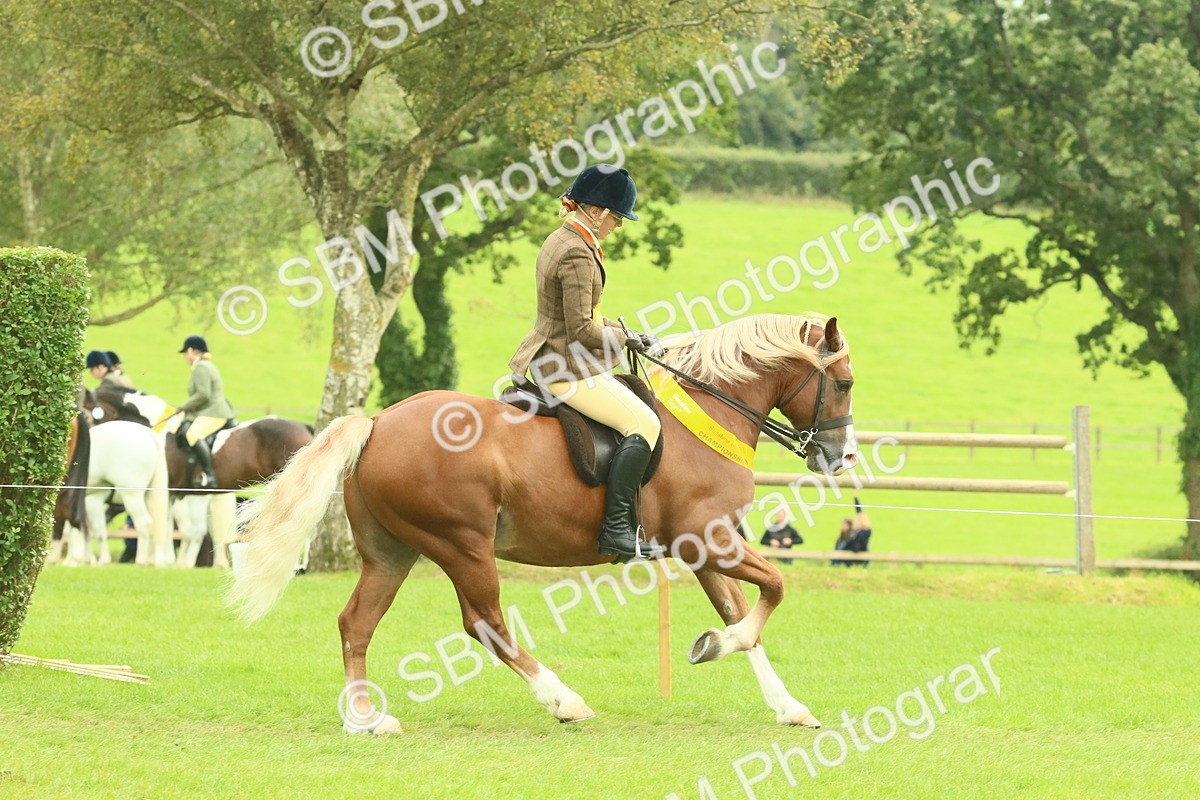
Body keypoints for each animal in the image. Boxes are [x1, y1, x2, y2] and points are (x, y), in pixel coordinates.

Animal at [60, 420, 173, 567]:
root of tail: (148, 434)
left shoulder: (90, 502)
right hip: (150, 496)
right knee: (161, 525)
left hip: (132, 496)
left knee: (144, 524)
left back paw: (141, 561)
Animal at [230, 313, 857, 734]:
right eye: (845, 383)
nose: (841, 458)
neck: (709, 413)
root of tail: (379, 422)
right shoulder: (710, 539)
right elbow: (773, 590)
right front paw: (716, 646)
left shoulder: (705, 548)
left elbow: (740, 609)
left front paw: (786, 704)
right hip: (462, 545)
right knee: (484, 624)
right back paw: (565, 701)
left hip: (392, 554)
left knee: (356, 623)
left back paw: (365, 718)